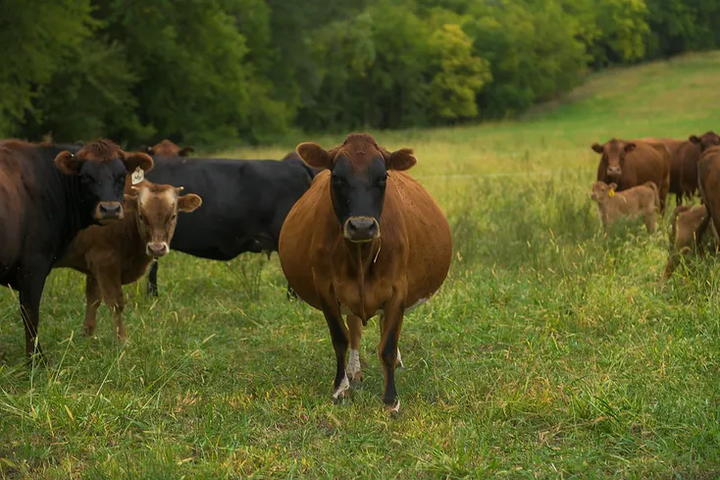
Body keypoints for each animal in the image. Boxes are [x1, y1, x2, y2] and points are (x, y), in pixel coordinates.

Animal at [0, 139, 153, 360]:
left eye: (122, 175)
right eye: (86, 176)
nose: (110, 209)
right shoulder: (33, 266)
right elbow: (30, 311)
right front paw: (37, 358)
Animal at [54, 180, 201, 341]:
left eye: (173, 216)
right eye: (141, 216)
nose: (157, 248)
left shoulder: (93, 268)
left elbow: (93, 299)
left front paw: (87, 335)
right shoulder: (105, 261)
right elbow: (115, 303)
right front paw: (122, 340)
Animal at [278, 133, 453, 413]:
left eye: (383, 178)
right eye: (337, 177)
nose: (361, 225)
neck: (361, 256)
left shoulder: (398, 289)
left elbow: (388, 345)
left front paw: (391, 399)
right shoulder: (326, 289)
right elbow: (341, 339)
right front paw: (341, 387)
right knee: (355, 330)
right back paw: (354, 371)